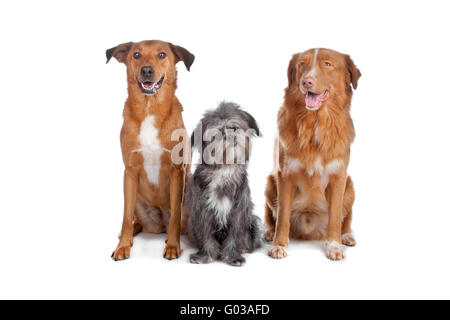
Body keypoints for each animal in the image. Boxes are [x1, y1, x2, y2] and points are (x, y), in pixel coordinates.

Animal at [107, 40, 195, 260]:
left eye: (162, 54)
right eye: (136, 55)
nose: (147, 70)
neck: (150, 108)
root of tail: (158, 225)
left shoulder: (176, 171)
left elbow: (175, 218)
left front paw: (172, 246)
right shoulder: (130, 171)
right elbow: (125, 215)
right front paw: (123, 246)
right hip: (136, 197)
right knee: (133, 219)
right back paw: (129, 233)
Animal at [186, 101, 264, 266]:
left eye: (234, 127)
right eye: (217, 133)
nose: (231, 136)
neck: (224, 169)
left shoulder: (238, 212)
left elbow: (234, 236)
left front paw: (233, 256)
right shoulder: (203, 211)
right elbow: (206, 236)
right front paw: (205, 256)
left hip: (253, 221)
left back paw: (244, 248)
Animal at [266, 48, 360, 262]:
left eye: (327, 64)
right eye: (302, 64)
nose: (306, 81)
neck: (316, 122)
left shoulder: (338, 177)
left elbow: (335, 218)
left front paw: (334, 246)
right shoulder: (285, 175)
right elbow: (282, 216)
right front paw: (278, 245)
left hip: (350, 185)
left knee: (345, 219)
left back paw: (346, 236)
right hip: (270, 184)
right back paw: (268, 232)